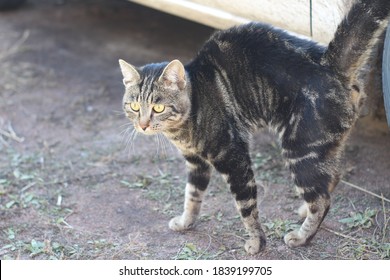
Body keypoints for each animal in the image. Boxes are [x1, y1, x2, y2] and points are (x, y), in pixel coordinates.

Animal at [118, 0, 390, 254]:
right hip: (321, 149)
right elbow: (192, 195)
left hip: (299, 149)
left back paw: (302, 236)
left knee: (323, 199)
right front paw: (186, 222)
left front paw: (257, 243)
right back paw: (304, 211)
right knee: (331, 179)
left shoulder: (234, 157)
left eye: (158, 108)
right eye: (134, 106)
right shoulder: (196, 162)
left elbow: (246, 208)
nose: (143, 125)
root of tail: (328, 63)